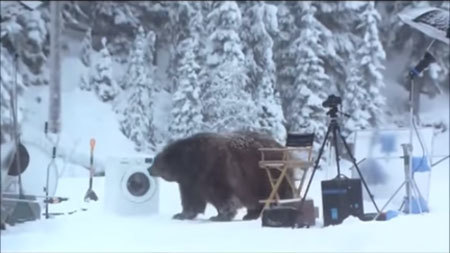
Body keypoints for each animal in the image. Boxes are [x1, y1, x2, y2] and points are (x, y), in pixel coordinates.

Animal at [149, 130, 294, 221]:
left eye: (155, 161)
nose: (149, 169)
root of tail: (283, 148)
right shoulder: (190, 182)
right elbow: (192, 200)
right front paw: (181, 214)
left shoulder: (216, 169)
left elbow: (223, 196)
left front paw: (220, 216)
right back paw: (250, 215)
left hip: (266, 176)